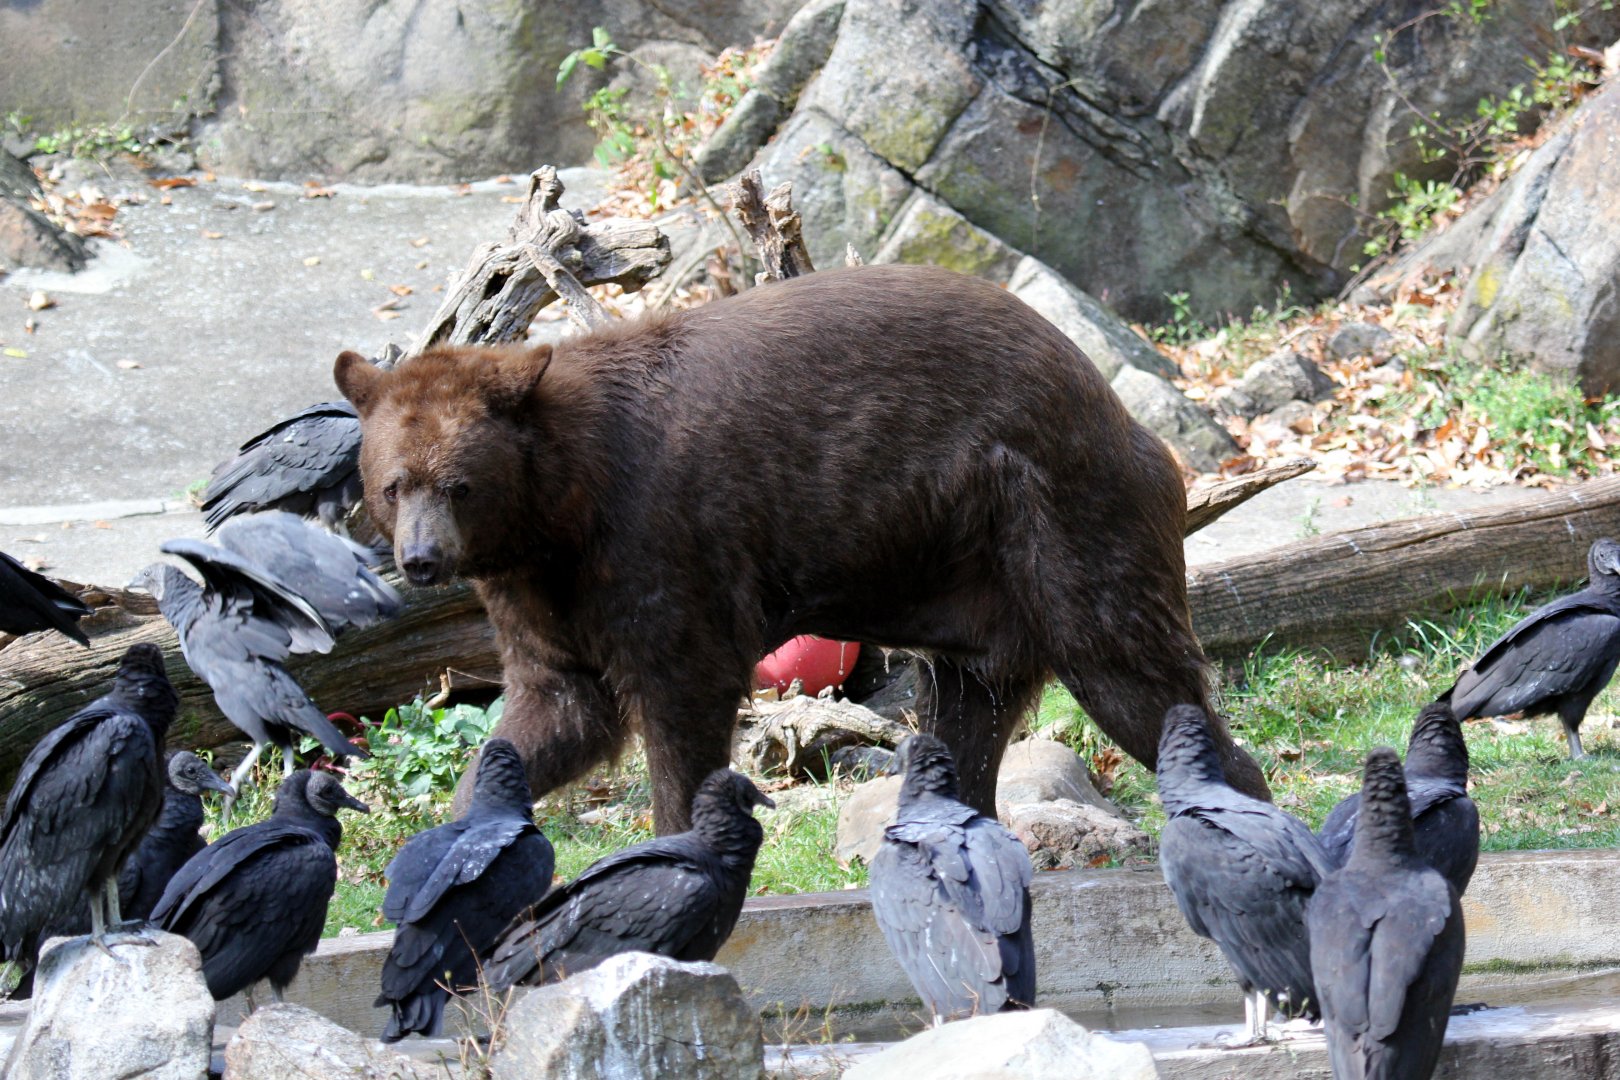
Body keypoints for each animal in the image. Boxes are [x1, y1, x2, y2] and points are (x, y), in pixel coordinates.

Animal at [335, 263, 1269, 834]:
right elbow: (555, 709)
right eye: (393, 483)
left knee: (1131, 672)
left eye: (457, 483)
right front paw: (467, 821)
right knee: (967, 721)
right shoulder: (542, 598)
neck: (560, 510)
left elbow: (679, 694)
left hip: (1059, 520)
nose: (421, 560)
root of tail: (1122, 412)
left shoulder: (656, 541)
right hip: (981, 590)